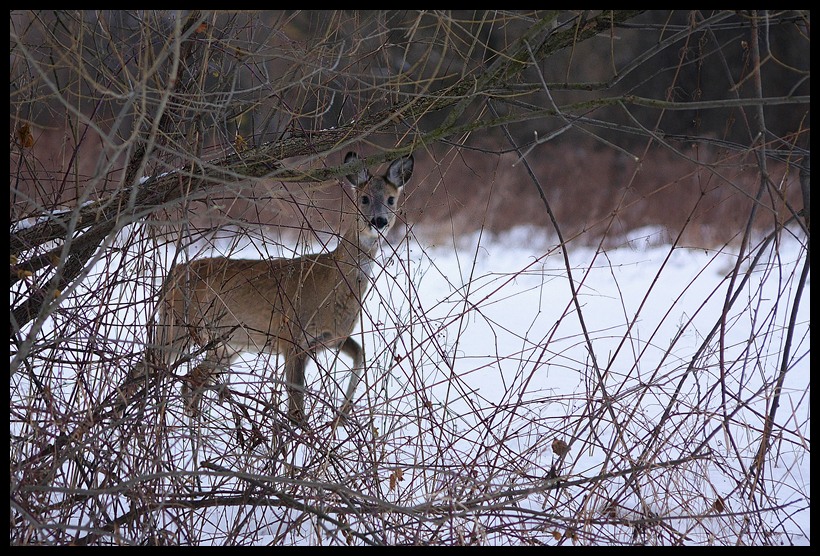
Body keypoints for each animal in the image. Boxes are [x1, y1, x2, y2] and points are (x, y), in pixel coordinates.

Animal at [143, 152, 416, 426]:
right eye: (364, 198)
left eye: (391, 199)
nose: (379, 221)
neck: (331, 282)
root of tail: (173, 274)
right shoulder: (292, 336)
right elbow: (296, 411)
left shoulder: (330, 337)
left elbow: (360, 353)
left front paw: (342, 414)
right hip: (177, 325)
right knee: (150, 369)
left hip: (227, 344)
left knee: (191, 380)